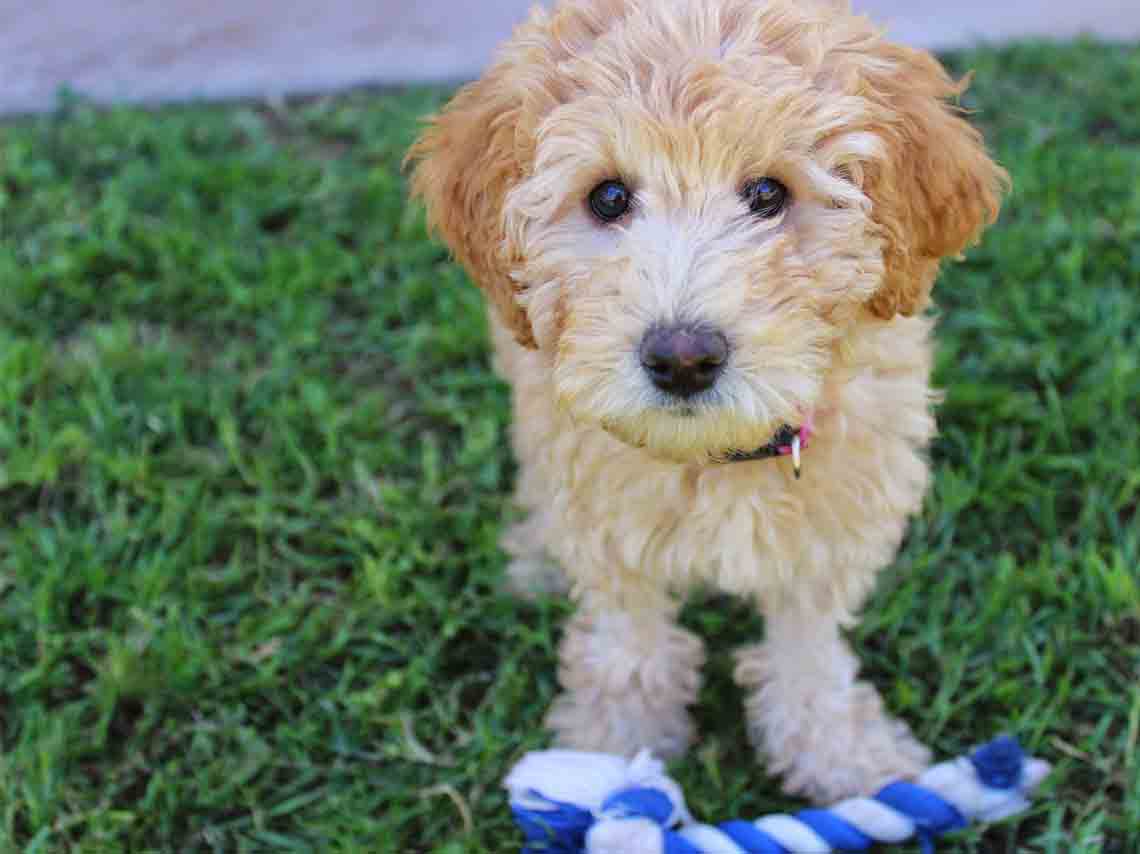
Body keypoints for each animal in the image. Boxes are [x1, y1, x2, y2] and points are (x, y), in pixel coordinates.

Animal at [405, 0, 1003, 802]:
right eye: (609, 197)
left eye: (768, 194)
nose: (682, 359)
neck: (715, 454)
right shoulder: (604, 519)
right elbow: (630, 642)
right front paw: (613, 752)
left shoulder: (832, 524)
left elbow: (808, 650)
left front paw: (839, 754)